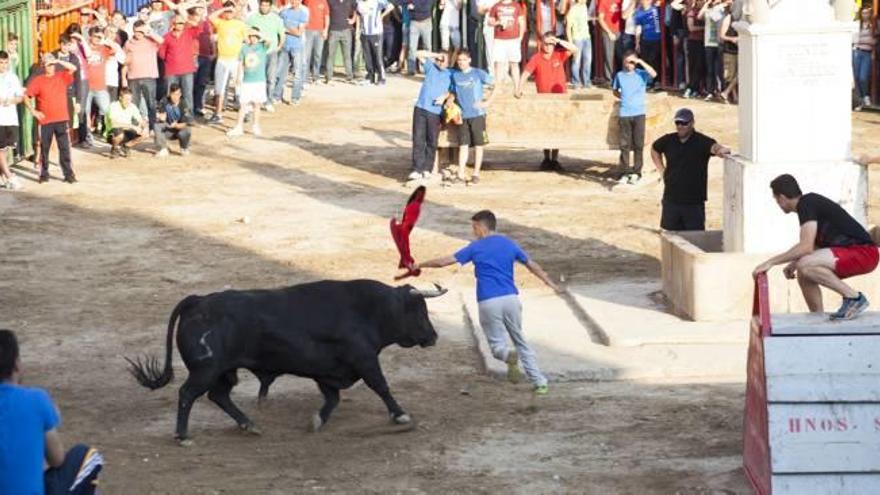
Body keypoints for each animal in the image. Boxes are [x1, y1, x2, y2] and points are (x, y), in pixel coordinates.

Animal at [127, 280, 444, 444]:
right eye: (419, 310)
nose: (433, 336)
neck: (371, 310)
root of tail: (198, 300)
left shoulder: (327, 371)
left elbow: (333, 399)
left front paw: (317, 421)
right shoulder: (364, 359)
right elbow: (381, 386)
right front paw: (401, 415)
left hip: (225, 371)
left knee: (219, 395)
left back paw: (249, 424)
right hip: (206, 370)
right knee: (187, 394)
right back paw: (183, 435)